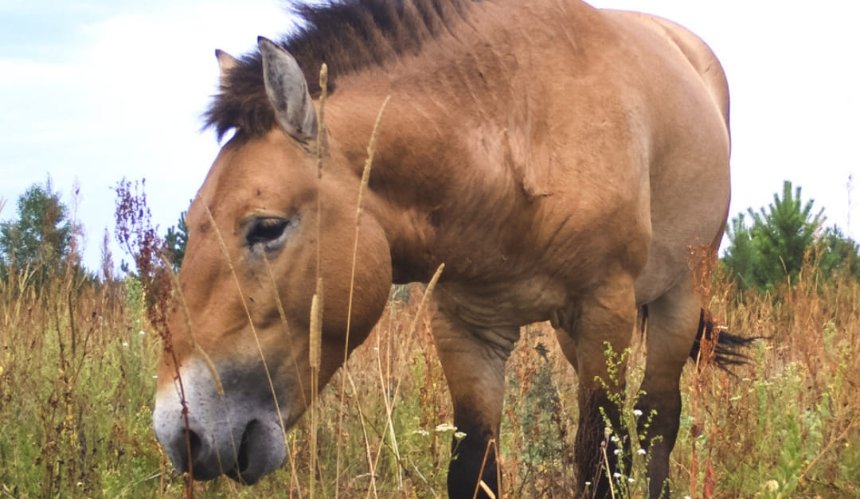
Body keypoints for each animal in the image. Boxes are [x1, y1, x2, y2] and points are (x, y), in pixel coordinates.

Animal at [153, 1, 740, 498]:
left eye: (266, 227)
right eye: (193, 220)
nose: (181, 433)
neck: (517, 129)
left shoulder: (604, 309)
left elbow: (601, 459)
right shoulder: (466, 330)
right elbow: (474, 465)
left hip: (675, 299)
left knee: (658, 418)